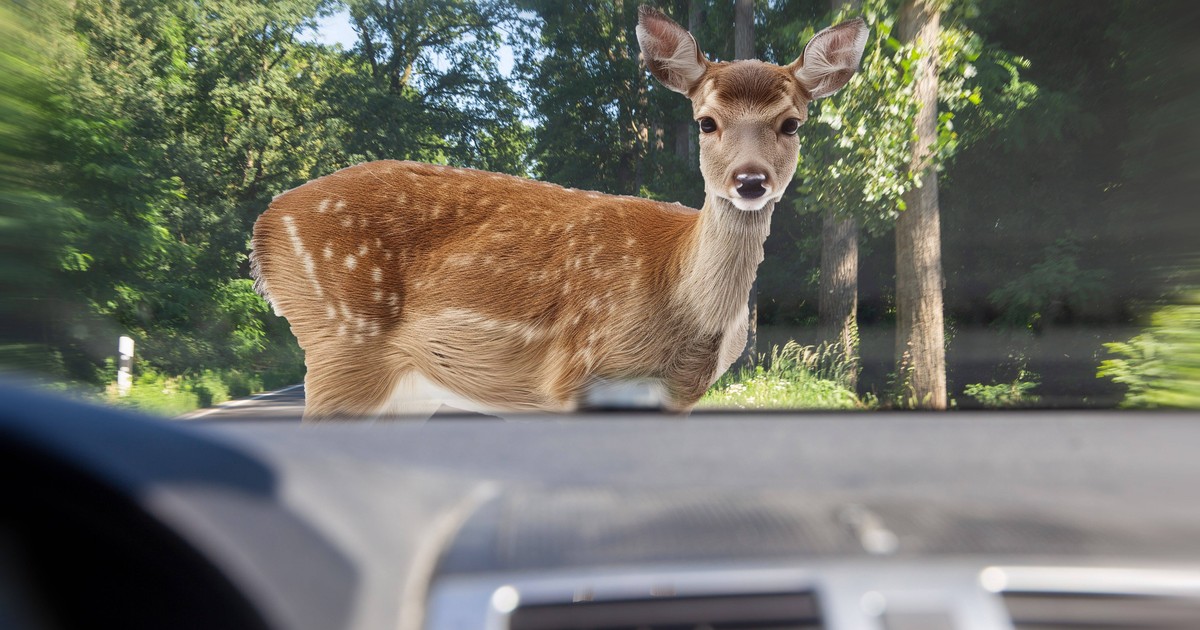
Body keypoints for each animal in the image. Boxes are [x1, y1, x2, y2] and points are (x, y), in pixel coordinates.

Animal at [250, 7, 864, 420]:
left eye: (791, 123)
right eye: (706, 121)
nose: (751, 180)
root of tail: (264, 228)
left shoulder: (676, 397)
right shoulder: (576, 376)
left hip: (404, 386)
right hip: (340, 343)